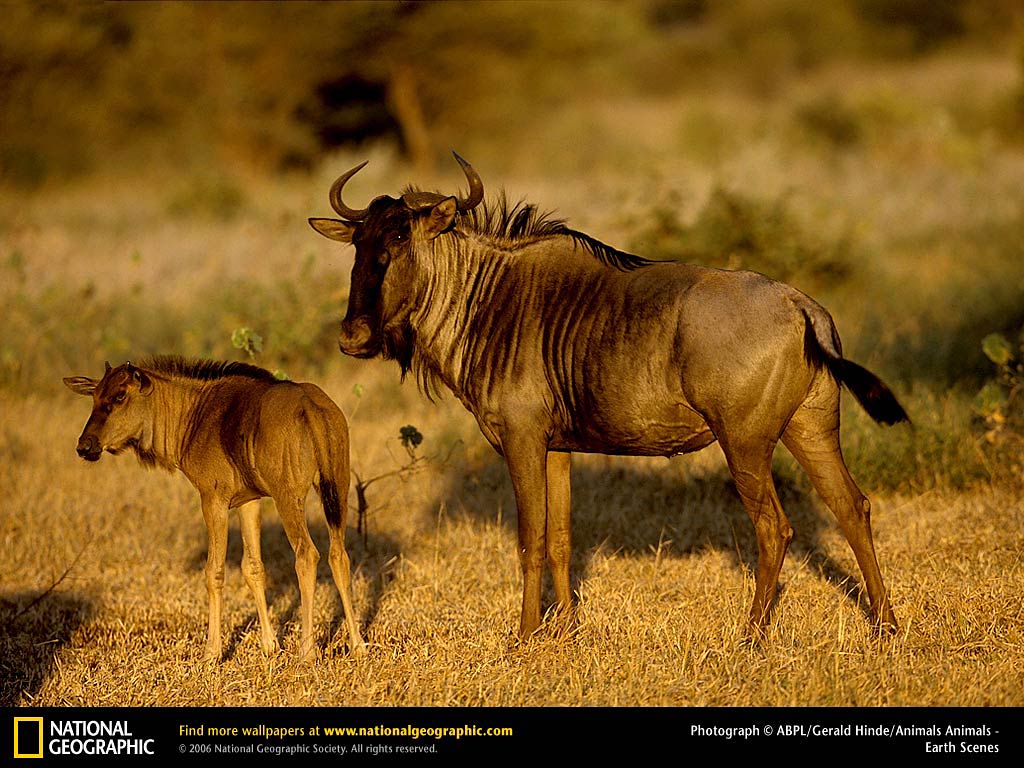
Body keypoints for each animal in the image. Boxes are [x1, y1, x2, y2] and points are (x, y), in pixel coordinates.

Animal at [64, 357, 367, 661]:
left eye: (120, 396)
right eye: (94, 396)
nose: (84, 446)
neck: (193, 414)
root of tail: (311, 406)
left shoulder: (213, 500)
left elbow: (214, 572)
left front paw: (212, 653)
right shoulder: (249, 501)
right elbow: (253, 567)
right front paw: (269, 645)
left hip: (288, 498)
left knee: (307, 555)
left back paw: (307, 651)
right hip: (338, 489)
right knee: (339, 555)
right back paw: (357, 645)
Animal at [309, 153, 909, 642]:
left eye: (398, 243)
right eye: (359, 246)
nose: (353, 338)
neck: (485, 299)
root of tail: (801, 306)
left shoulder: (522, 441)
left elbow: (529, 539)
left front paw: (524, 636)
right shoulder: (556, 448)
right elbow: (560, 537)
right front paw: (567, 630)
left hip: (746, 443)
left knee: (774, 527)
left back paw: (753, 635)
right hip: (810, 429)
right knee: (852, 507)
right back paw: (886, 626)